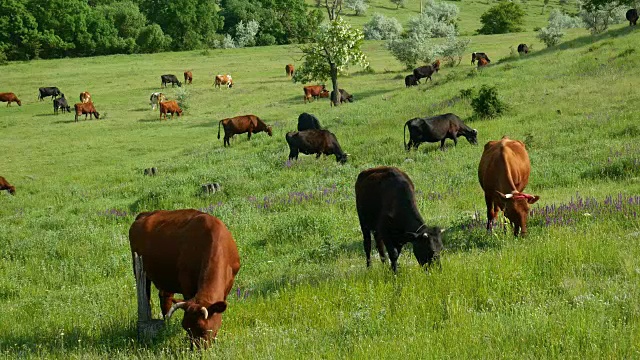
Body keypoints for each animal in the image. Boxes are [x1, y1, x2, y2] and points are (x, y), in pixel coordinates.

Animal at [127, 210, 240, 348]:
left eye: (203, 329)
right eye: (186, 328)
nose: (196, 349)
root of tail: (144, 214)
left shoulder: (228, 284)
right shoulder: (187, 284)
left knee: (165, 298)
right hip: (139, 270)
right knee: (146, 296)